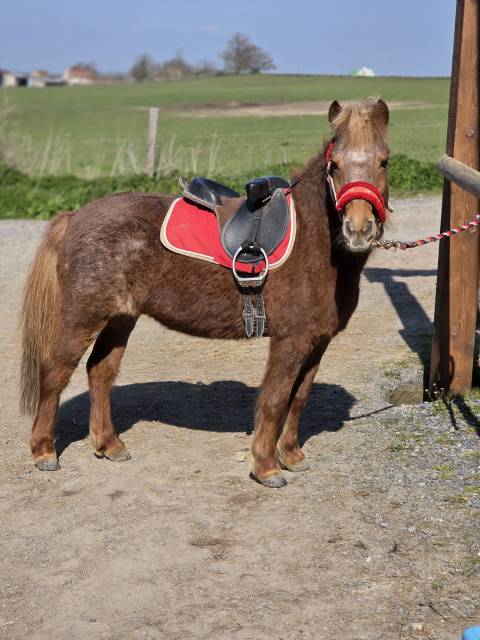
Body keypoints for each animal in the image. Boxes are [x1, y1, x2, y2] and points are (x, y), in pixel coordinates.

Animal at [20, 98, 391, 488]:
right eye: (335, 165)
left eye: (384, 161)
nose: (358, 229)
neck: (313, 239)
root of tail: (75, 217)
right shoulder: (290, 340)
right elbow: (276, 399)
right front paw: (266, 467)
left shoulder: (317, 340)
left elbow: (299, 397)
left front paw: (291, 456)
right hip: (82, 317)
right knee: (55, 372)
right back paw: (44, 451)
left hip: (121, 318)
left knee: (100, 372)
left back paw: (109, 444)